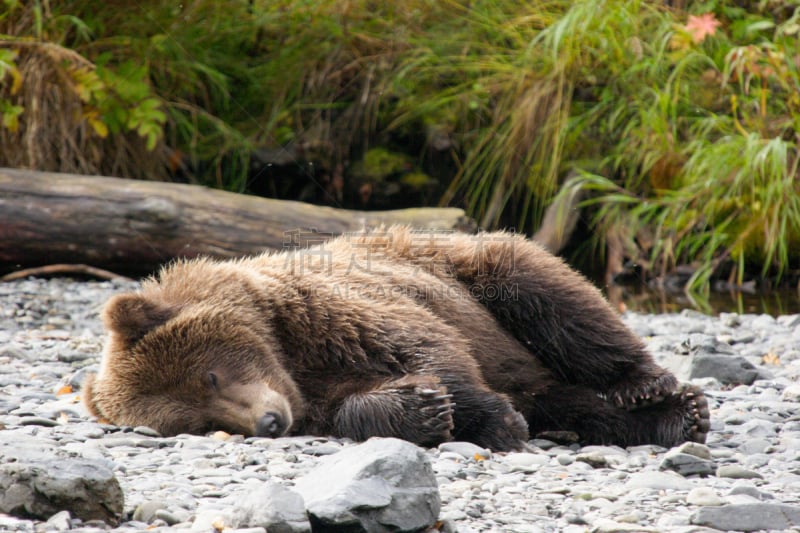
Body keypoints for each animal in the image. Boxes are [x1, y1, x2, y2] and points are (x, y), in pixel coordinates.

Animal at [84, 224, 708, 448]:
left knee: (557, 303)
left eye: (210, 375)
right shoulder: (317, 389)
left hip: (474, 273)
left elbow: (430, 348)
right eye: (195, 421)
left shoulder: (333, 310)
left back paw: (653, 390)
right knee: (568, 401)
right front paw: (424, 409)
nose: (268, 422)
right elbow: (356, 407)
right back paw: (668, 419)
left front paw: (492, 420)